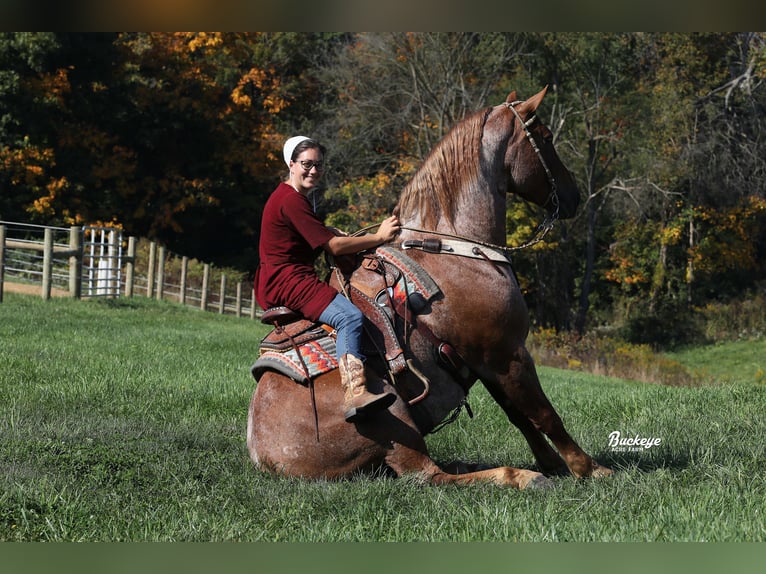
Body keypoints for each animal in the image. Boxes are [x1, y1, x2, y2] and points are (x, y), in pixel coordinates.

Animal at [249, 86, 616, 490]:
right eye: (546, 138)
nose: (573, 196)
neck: (453, 248)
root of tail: (264, 455)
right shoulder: (508, 353)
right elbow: (545, 414)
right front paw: (588, 468)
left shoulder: (487, 363)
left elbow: (521, 416)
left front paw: (552, 463)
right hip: (395, 415)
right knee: (429, 475)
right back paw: (519, 476)